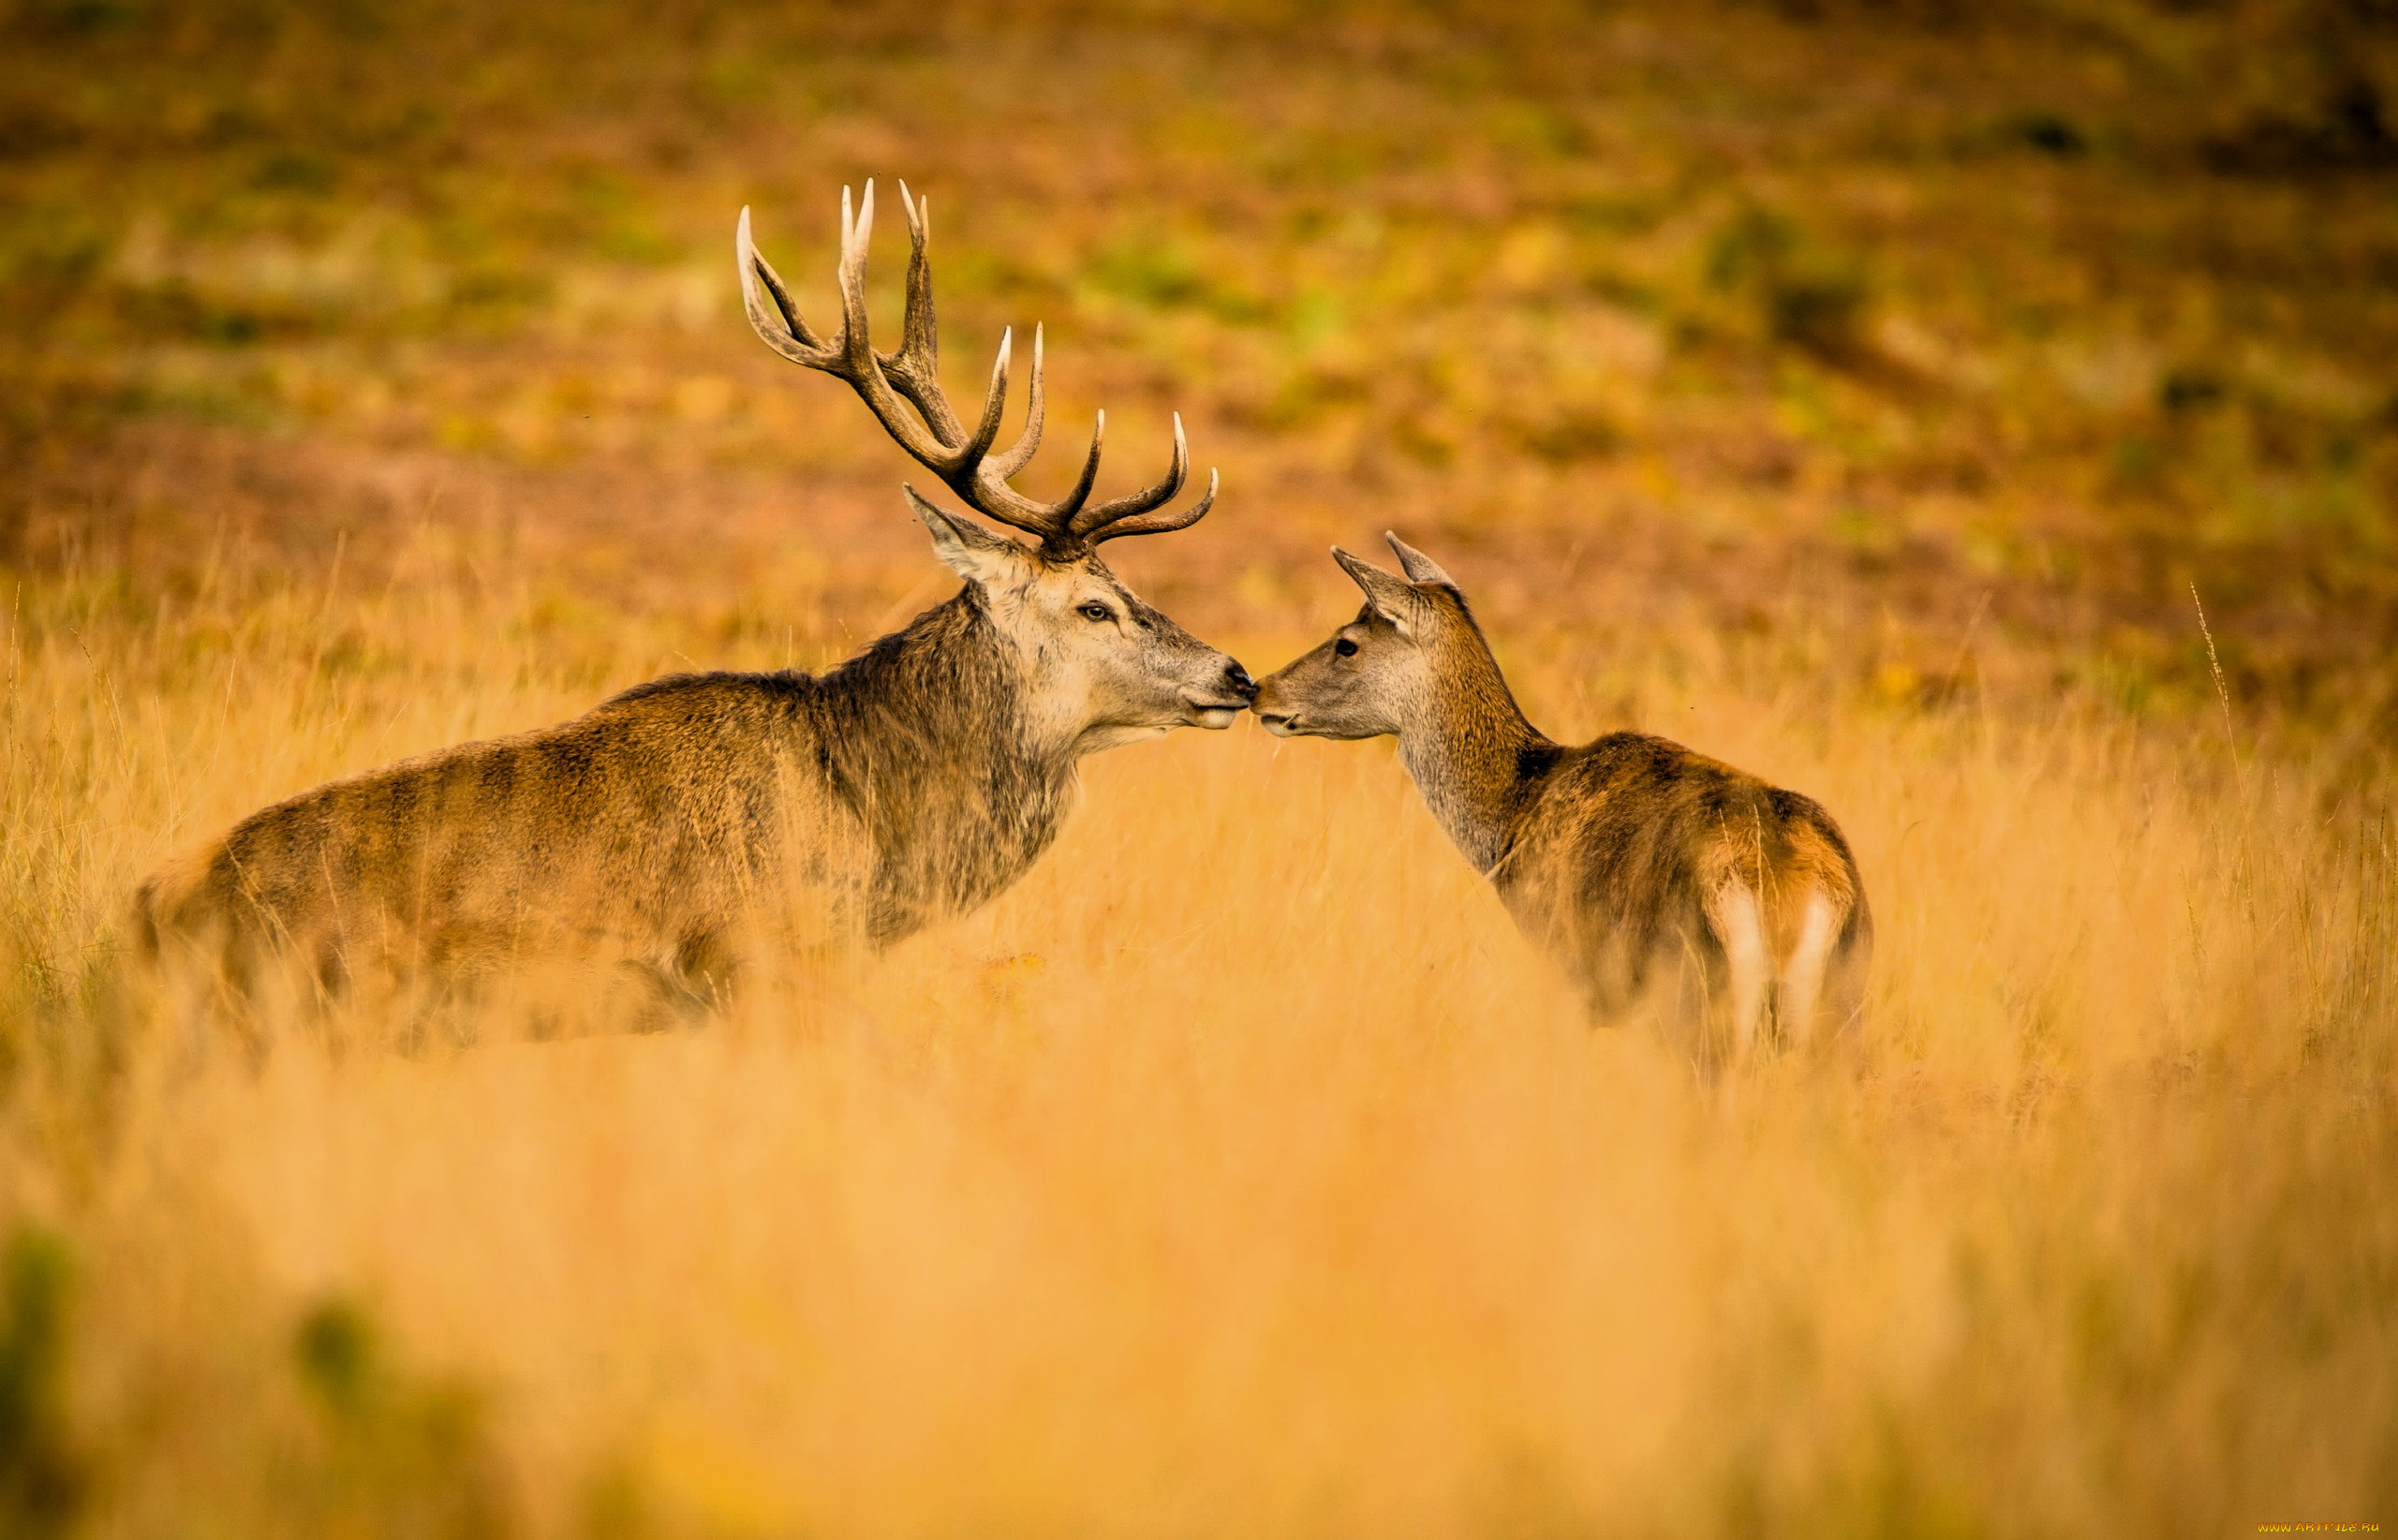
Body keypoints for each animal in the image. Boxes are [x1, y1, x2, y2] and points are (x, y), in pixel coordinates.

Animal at [1256, 532, 1870, 1059]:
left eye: (1347, 644)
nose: (1261, 689)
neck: (1513, 817)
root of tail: (1793, 890)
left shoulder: (1565, 969)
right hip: (1842, 1005)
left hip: (1693, 994)